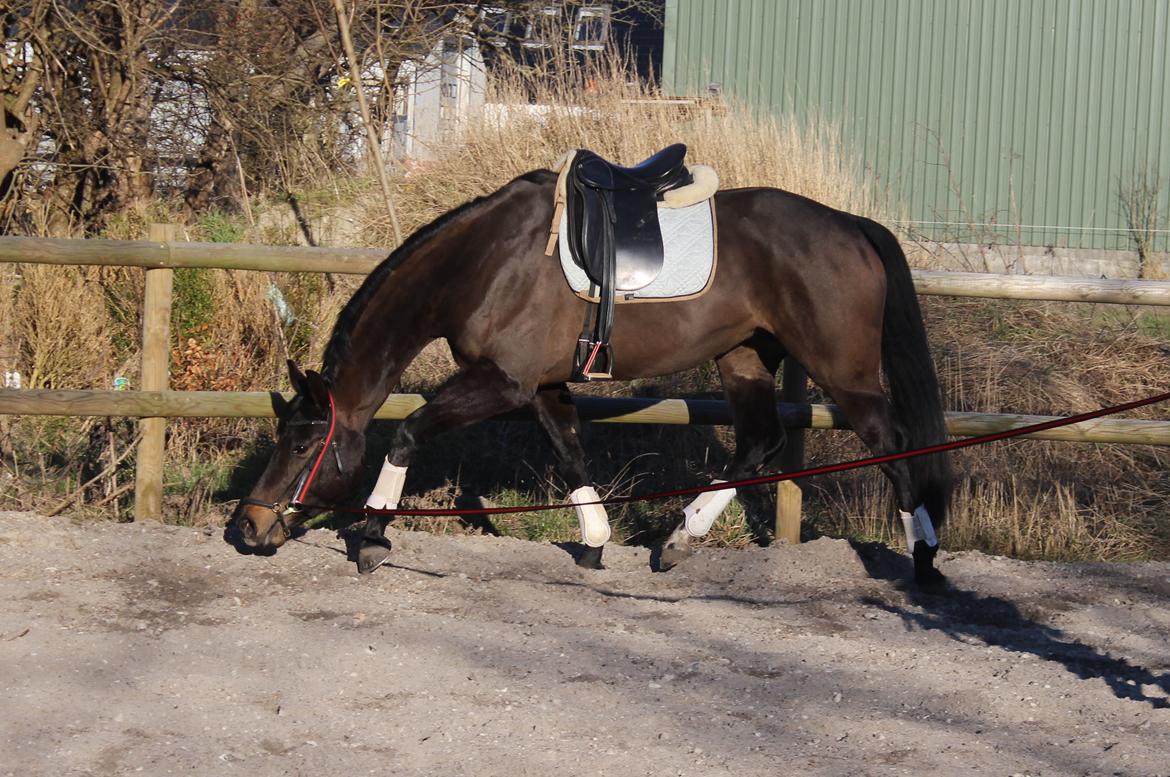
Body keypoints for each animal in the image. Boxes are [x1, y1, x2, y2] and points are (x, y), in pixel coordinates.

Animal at [232, 167, 954, 585]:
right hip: (745, 356)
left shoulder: (504, 381)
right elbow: (570, 449)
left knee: (891, 443)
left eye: (303, 441)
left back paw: (922, 558)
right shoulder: (542, 386)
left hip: (843, 371)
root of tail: (851, 226)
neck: (484, 264)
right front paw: (596, 541)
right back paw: (678, 540)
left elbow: (407, 433)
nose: (249, 527)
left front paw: (372, 537)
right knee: (759, 442)